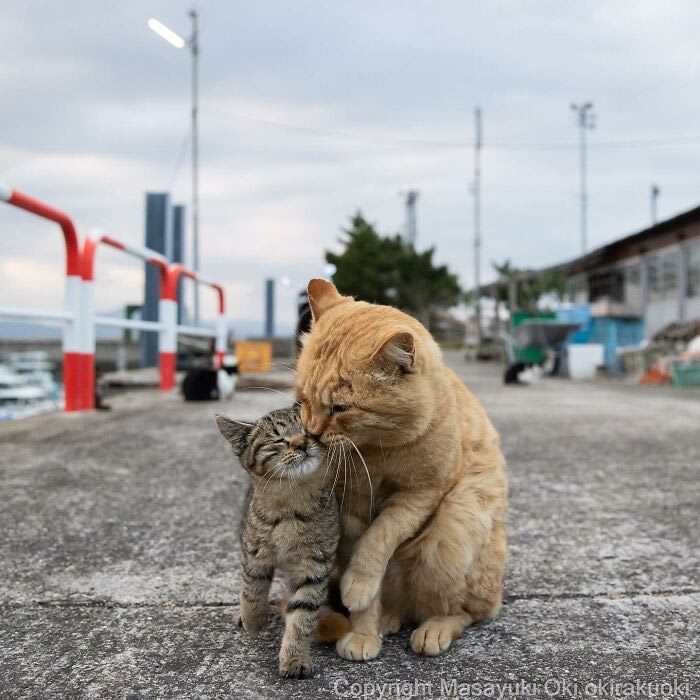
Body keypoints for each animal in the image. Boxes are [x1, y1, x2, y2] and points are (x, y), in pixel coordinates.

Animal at [216, 404, 342, 680]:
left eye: (307, 429)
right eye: (277, 439)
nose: (302, 442)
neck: (291, 504)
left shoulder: (314, 565)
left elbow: (303, 614)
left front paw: (295, 657)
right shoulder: (254, 552)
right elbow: (252, 588)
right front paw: (253, 620)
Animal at [296, 276, 508, 660]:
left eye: (340, 408)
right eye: (302, 399)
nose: (312, 433)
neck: (376, 451)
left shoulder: (420, 495)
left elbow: (379, 539)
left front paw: (358, 586)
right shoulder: (350, 509)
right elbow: (364, 565)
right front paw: (364, 630)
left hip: (458, 522)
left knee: (466, 611)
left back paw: (433, 628)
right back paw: (387, 619)